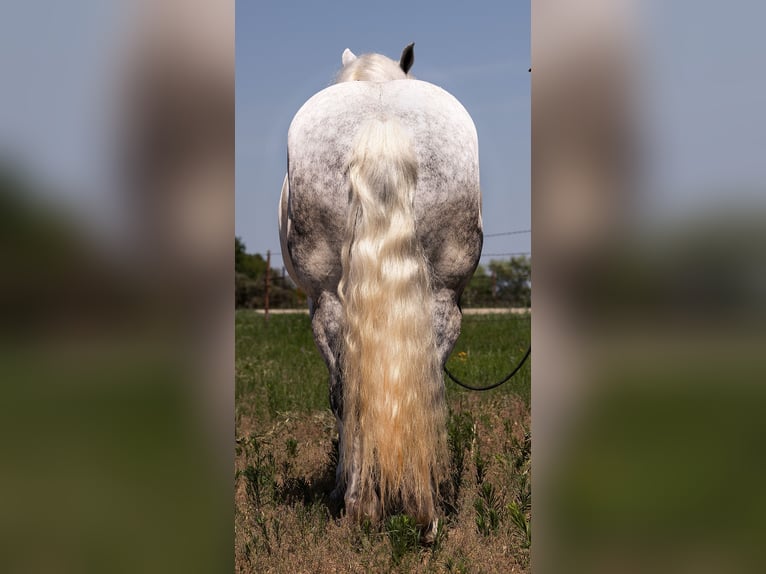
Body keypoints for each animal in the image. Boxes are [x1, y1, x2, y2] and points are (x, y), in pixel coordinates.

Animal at [276, 42, 484, 536]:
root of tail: (382, 121)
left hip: (326, 303)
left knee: (344, 392)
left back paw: (357, 502)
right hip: (443, 300)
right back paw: (426, 504)